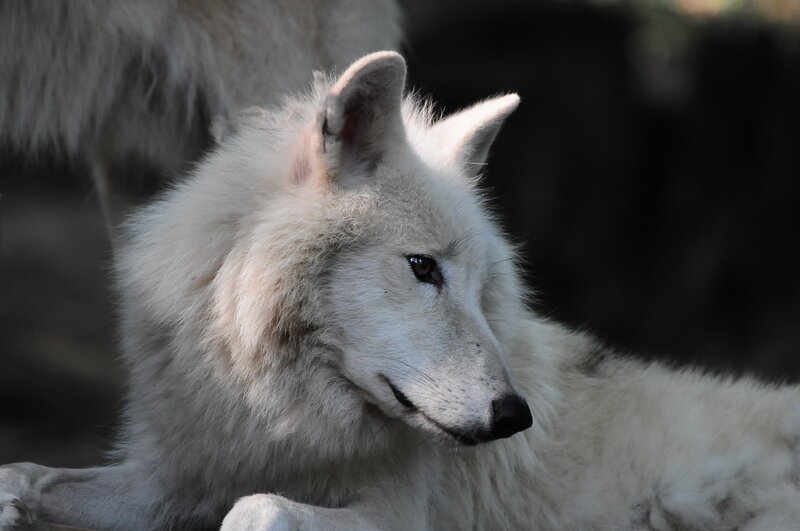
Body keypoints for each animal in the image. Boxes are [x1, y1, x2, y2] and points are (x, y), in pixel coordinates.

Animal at [3, 51, 800, 530]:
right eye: (422, 268)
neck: (280, 411)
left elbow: (257, 511)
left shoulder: (399, 513)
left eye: (480, 288)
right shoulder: (171, 479)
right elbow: (24, 476)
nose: (514, 416)